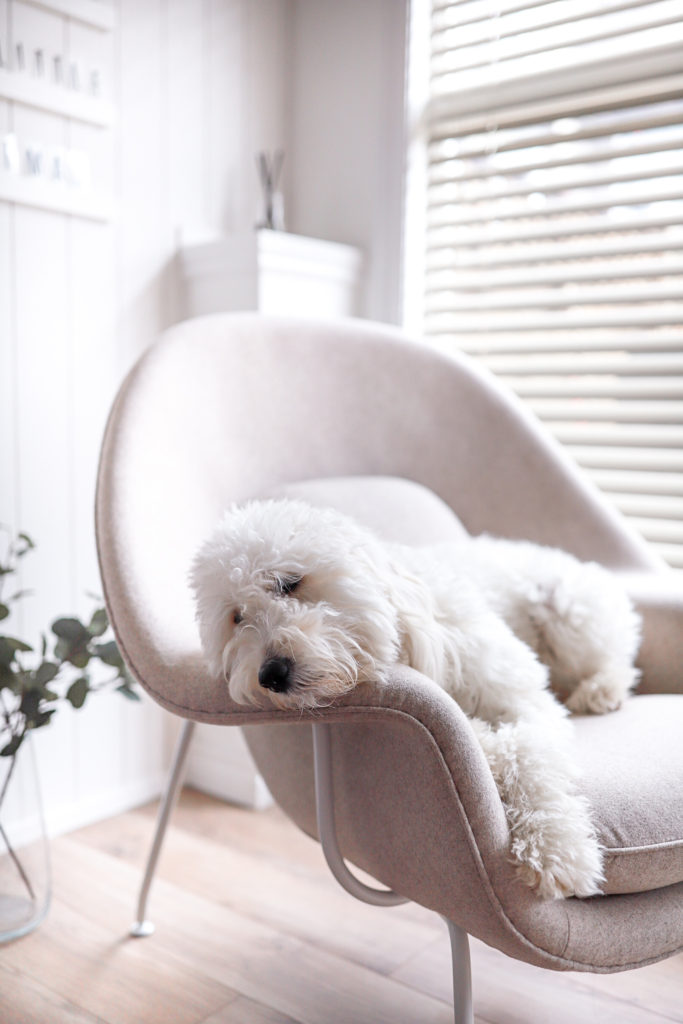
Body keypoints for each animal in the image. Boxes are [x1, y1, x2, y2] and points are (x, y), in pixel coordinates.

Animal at [191, 498, 641, 900]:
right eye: (236, 617)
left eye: (289, 582)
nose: (270, 675)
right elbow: (492, 743)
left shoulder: (526, 701)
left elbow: (526, 754)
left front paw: (555, 851)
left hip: (565, 608)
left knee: (617, 657)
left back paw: (601, 690)